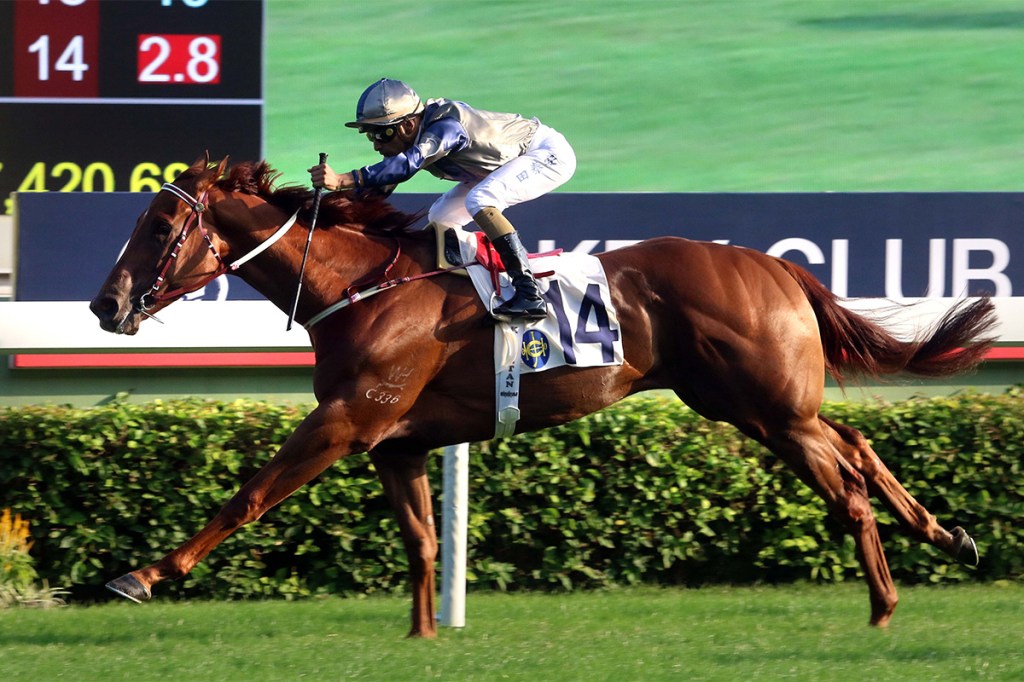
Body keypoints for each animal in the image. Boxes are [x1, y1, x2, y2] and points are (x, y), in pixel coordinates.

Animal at [91, 155, 996, 638]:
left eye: (160, 228)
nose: (105, 304)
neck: (359, 286)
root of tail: (773, 265)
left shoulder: (347, 421)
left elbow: (246, 496)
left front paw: (142, 574)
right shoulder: (397, 443)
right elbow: (422, 542)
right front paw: (424, 634)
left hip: (767, 408)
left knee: (846, 487)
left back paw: (883, 606)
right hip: (756, 405)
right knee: (859, 445)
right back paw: (948, 537)